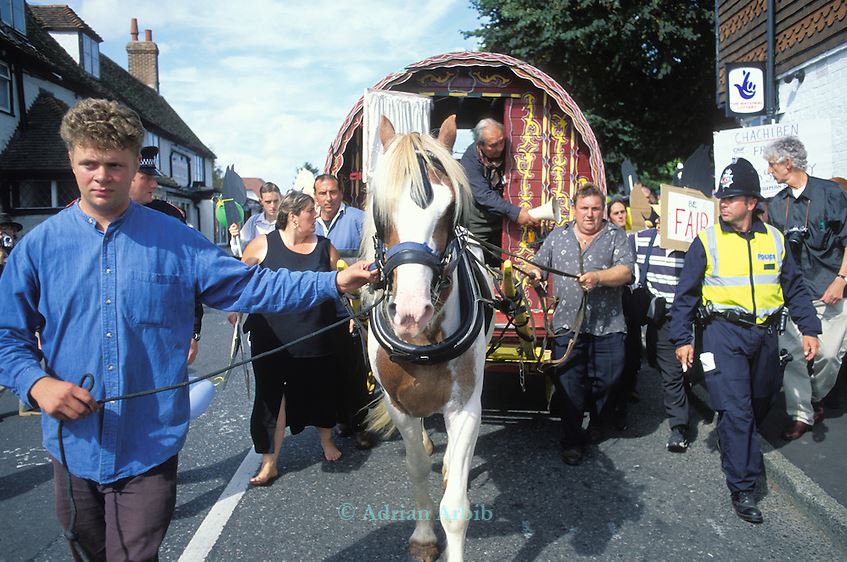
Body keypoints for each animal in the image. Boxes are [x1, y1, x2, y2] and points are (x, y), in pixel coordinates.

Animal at [362, 115, 494, 560]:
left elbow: (455, 506)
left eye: (450, 208)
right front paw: (422, 536)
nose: (411, 312)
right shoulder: (398, 403)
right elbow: (416, 465)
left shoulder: (466, 403)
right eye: (379, 209)